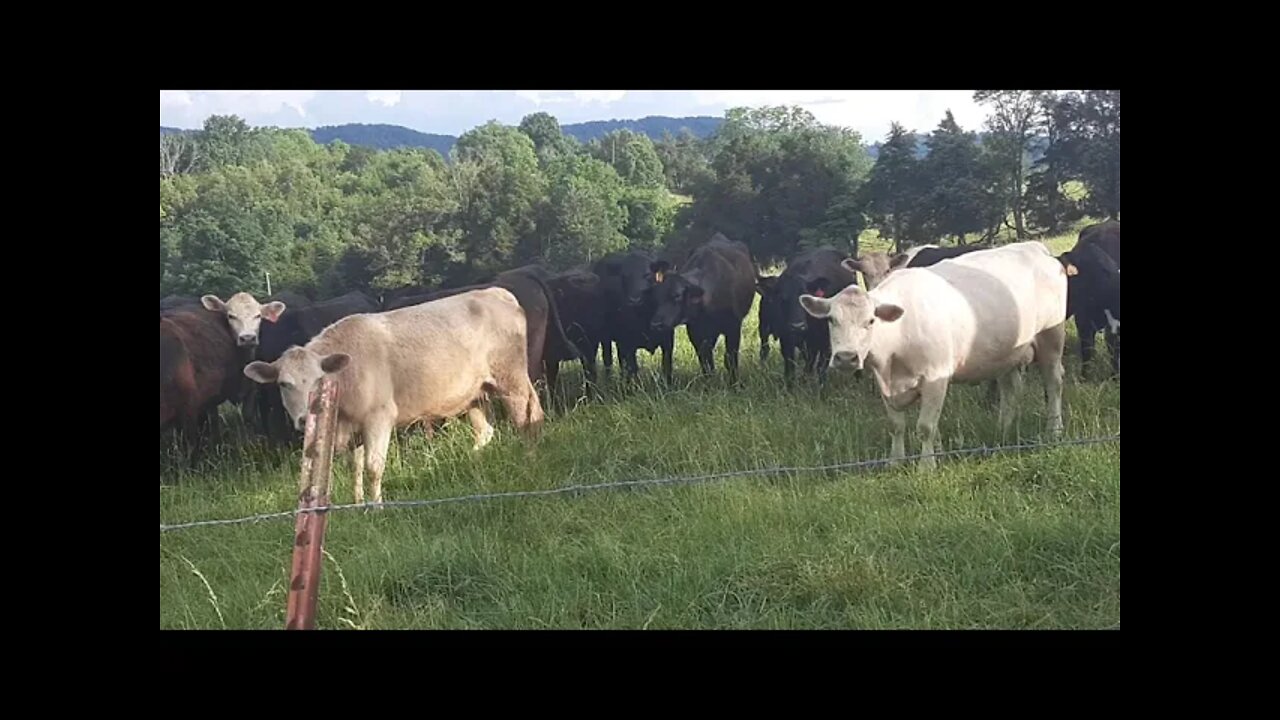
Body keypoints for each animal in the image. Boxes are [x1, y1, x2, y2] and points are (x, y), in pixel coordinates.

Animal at [243, 287, 545, 505]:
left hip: (512, 379)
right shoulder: (354, 428)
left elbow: (373, 467)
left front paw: (377, 507)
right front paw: (357, 504)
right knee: (488, 432)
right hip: (476, 394)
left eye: (321, 381)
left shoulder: (379, 417)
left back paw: (530, 465)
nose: (307, 419)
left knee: (527, 420)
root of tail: (496, 292)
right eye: (284, 384)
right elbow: (355, 468)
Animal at [592, 251, 674, 385]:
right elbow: (633, 367)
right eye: (625, 276)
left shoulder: (668, 340)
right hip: (605, 337)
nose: (635, 300)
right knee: (608, 359)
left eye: (647, 275)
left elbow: (666, 365)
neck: (645, 315)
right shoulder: (628, 343)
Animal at [649, 233, 757, 383]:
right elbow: (705, 360)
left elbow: (730, 359)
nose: (656, 324)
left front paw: (734, 382)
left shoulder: (734, 327)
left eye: (677, 296)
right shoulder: (696, 332)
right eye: (655, 297)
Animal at [755, 246, 858, 384]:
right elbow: (790, 367)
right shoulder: (786, 338)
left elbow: (821, 367)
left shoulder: (825, 340)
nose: (798, 326)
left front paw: (820, 388)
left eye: (806, 299)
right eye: (782, 298)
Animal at [801, 241, 1068, 470]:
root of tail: (1034, 247)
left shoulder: (935, 377)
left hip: (1051, 339)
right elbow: (897, 426)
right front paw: (896, 462)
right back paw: (1003, 429)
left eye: (870, 321)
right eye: (831, 320)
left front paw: (926, 466)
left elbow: (926, 426)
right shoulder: (884, 383)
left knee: (1054, 383)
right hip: (1006, 354)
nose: (846, 357)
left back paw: (1054, 430)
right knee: (1010, 389)